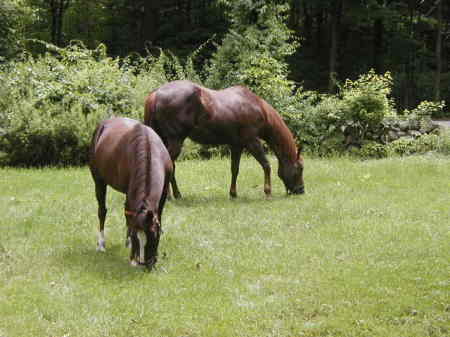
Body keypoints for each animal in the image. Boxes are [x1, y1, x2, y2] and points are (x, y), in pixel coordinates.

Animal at [89, 117, 172, 266]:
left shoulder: (163, 192)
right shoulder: (130, 191)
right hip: (99, 181)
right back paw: (101, 244)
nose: (145, 263)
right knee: (102, 211)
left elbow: (158, 217)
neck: (148, 148)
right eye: (136, 237)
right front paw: (133, 256)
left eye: (154, 235)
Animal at [144, 80, 306, 198]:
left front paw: (233, 193)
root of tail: (156, 94)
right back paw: (171, 195)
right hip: (175, 141)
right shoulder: (252, 142)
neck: (258, 107)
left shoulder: (236, 145)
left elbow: (235, 169)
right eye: (300, 168)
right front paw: (267, 191)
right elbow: (266, 165)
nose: (301, 190)